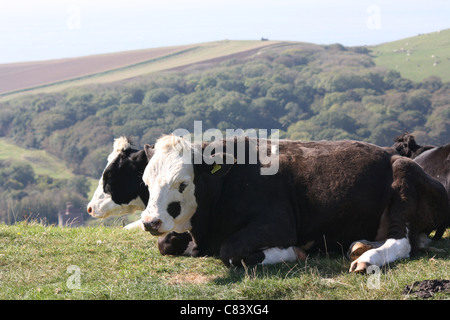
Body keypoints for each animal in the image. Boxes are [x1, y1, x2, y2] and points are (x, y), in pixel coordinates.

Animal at [139, 135, 448, 272]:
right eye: (146, 183)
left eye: (182, 184)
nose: (150, 222)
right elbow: (165, 243)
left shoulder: (279, 224)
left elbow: (231, 252)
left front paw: (293, 252)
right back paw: (362, 245)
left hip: (403, 180)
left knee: (403, 242)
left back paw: (368, 258)